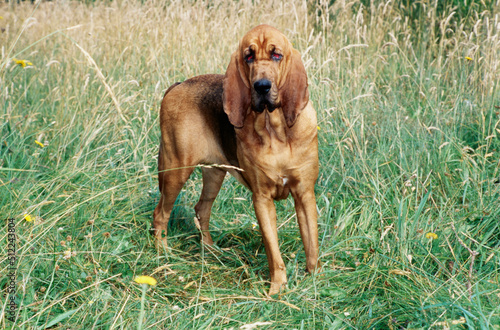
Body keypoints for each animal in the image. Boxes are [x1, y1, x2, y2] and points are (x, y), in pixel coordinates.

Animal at [151, 24, 320, 296]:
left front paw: (315, 279)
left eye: (276, 55)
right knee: (160, 213)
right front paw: (277, 289)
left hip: (214, 175)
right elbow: (274, 252)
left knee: (201, 209)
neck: (276, 132)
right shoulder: (261, 199)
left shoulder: (304, 193)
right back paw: (163, 254)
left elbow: (311, 242)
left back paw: (211, 250)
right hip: (176, 170)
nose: (262, 86)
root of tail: (178, 84)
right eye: (248, 56)